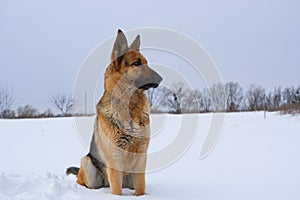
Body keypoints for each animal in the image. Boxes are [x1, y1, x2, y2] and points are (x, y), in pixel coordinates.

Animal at [66, 29, 162, 195]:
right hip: (88, 163)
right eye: (137, 63)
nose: (161, 78)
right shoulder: (115, 160)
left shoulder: (141, 157)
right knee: (84, 180)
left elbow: (141, 187)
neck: (129, 106)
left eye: (146, 62)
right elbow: (116, 190)